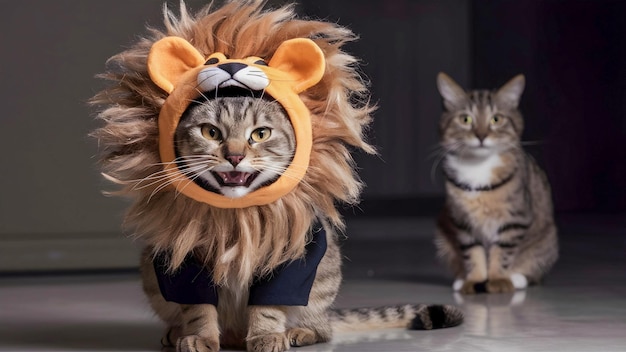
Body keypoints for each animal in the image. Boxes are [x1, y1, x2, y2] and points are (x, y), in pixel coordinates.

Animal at [434, 72, 556, 294]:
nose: (481, 136)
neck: (478, 167)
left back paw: (516, 278)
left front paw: (498, 279)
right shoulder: (462, 221)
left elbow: (503, 252)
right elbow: (473, 253)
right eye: (466, 119)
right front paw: (474, 280)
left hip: (547, 241)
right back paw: (460, 279)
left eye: (496, 119)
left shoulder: (514, 218)